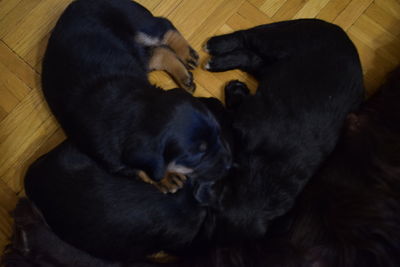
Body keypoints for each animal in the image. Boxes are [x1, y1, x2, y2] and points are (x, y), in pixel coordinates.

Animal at [41, 0, 231, 193]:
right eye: (196, 156)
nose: (229, 164)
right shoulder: (110, 159)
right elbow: (138, 169)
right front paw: (167, 178)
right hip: (137, 50)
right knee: (159, 52)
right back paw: (183, 75)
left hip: (140, 24)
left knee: (164, 27)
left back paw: (186, 53)